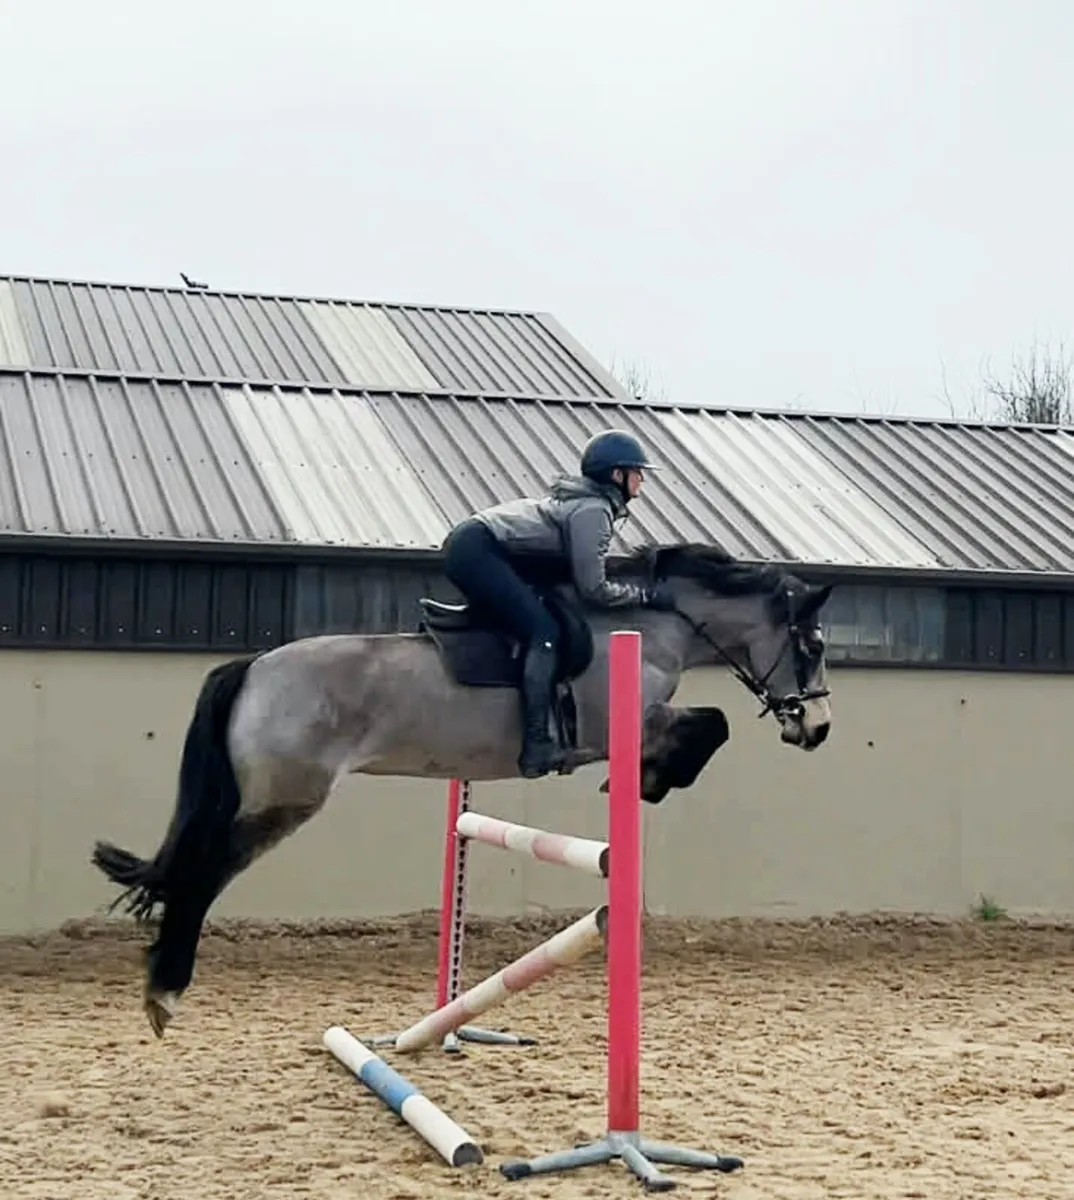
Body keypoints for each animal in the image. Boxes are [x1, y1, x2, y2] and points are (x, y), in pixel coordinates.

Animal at [91, 542, 834, 1038]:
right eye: (814, 645)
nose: (818, 729)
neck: (653, 625)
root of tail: (253, 666)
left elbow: (709, 726)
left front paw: (650, 778)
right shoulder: (625, 722)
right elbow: (713, 725)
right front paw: (649, 779)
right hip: (284, 800)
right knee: (202, 873)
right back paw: (164, 993)